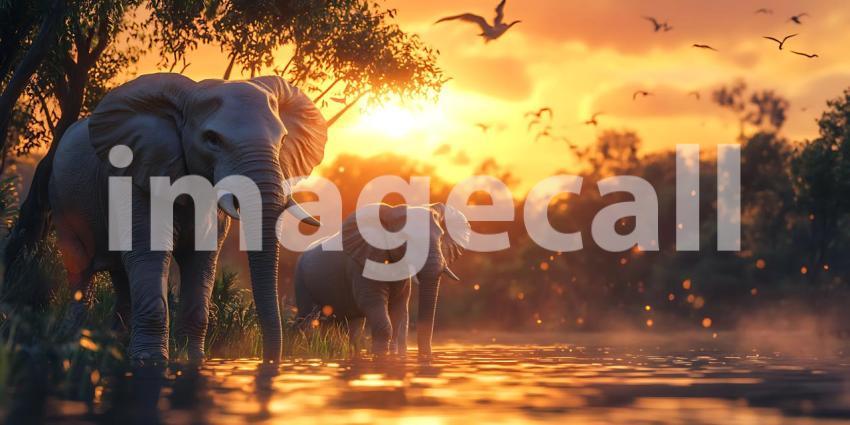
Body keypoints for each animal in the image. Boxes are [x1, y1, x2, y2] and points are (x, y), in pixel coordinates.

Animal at [7, 73, 328, 364]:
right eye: (212, 139)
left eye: (283, 139)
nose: (269, 363)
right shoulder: (138, 176)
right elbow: (150, 254)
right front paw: (151, 363)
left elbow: (201, 261)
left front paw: (193, 362)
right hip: (63, 201)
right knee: (81, 271)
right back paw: (73, 344)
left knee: (122, 275)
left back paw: (115, 346)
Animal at [294, 203, 469, 356]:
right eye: (404, 241)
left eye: (441, 237)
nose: (425, 356)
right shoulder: (362, 264)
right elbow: (373, 304)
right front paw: (380, 355)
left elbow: (399, 311)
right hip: (301, 278)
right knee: (306, 319)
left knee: (355, 325)